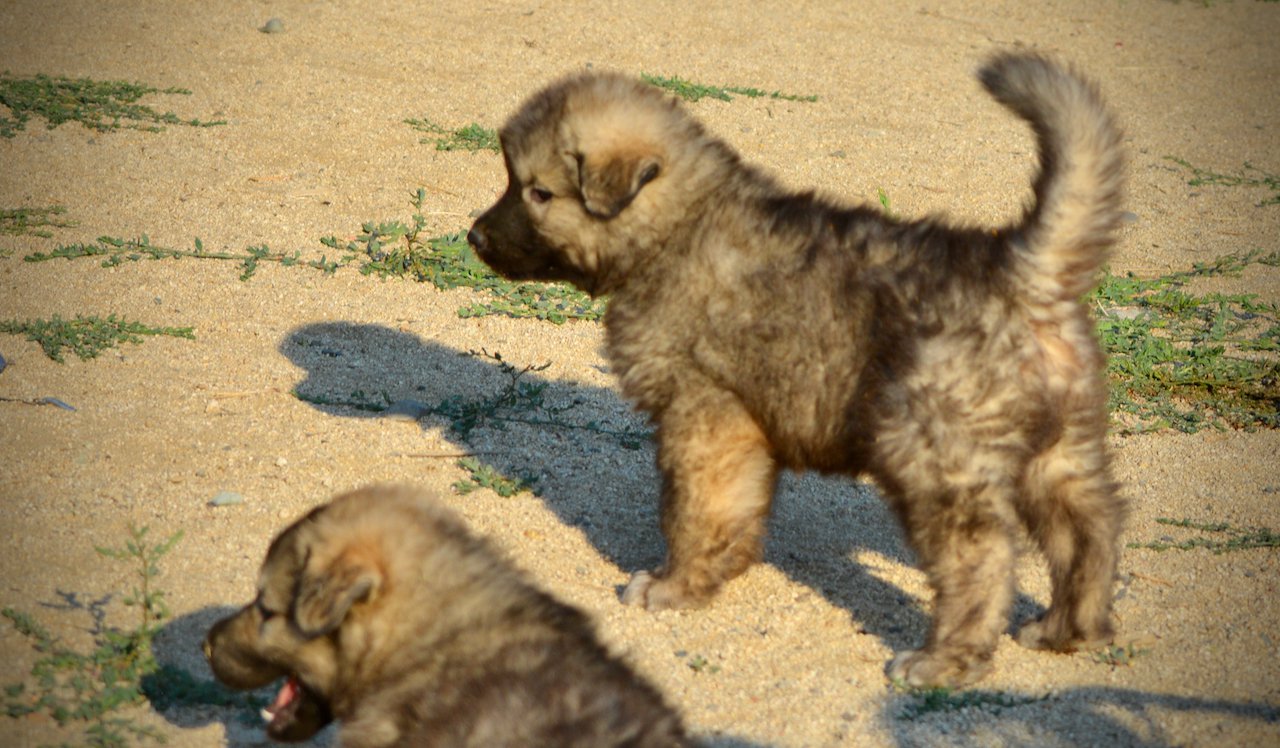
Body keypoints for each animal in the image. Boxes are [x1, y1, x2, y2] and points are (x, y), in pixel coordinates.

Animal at [465, 54, 1126, 691]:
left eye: (538, 192)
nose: (474, 236)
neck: (679, 227)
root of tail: (1023, 273)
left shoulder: (705, 415)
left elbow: (694, 511)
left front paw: (674, 586)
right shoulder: (737, 426)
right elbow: (733, 511)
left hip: (933, 454)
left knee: (981, 559)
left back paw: (944, 661)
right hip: (1061, 451)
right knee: (1088, 532)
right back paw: (1068, 630)